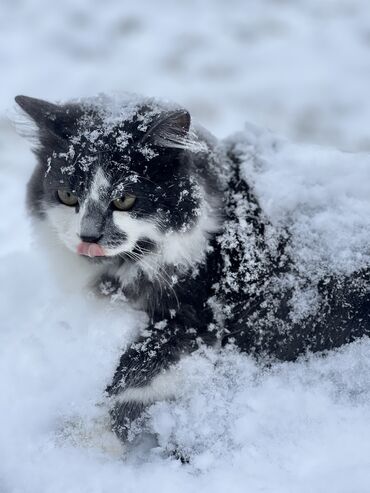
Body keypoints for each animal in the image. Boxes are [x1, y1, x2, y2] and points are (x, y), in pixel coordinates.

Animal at [15, 92, 370, 438]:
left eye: (125, 200)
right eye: (67, 195)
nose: (88, 236)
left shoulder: (196, 317)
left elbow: (135, 374)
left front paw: (91, 433)